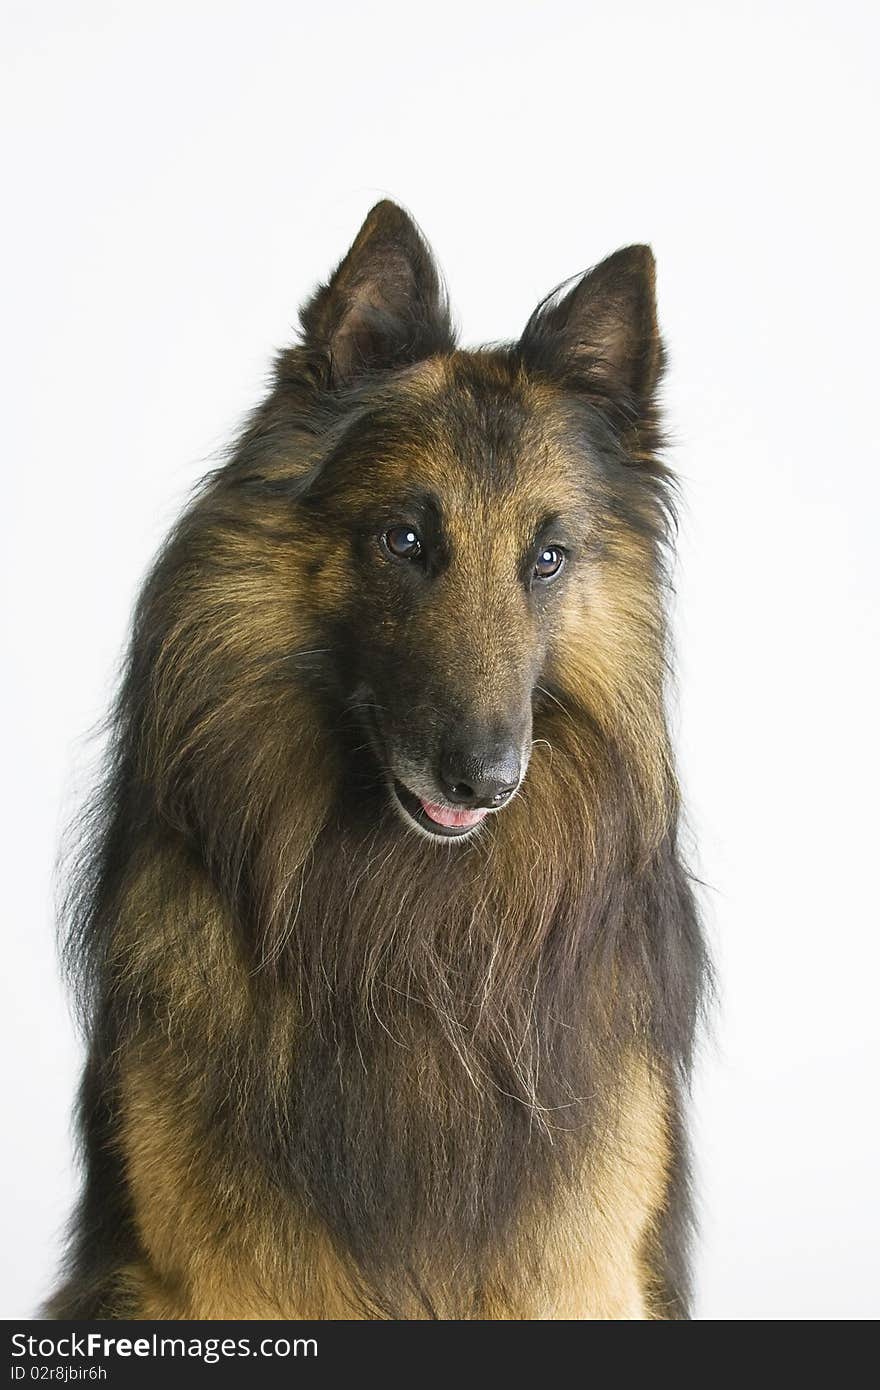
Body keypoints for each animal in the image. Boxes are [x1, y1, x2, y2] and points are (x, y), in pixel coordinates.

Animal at [47, 201, 706, 1317]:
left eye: (547, 558)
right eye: (404, 539)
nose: (484, 779)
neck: (406, 937)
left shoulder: (578, 1268)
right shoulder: (218, 1280)